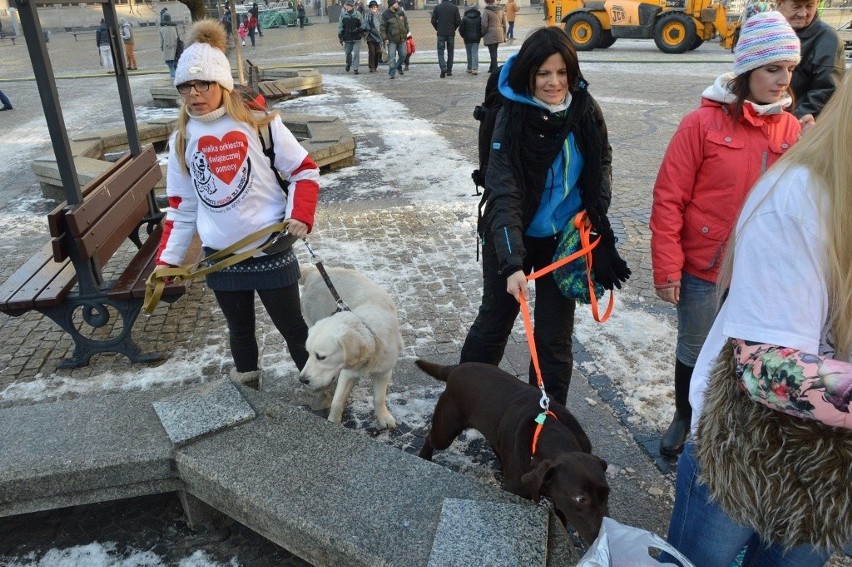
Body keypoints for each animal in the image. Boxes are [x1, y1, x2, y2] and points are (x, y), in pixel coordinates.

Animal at [298, 268, 404, 430]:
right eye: (308, 353)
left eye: (321, 357)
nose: (302, 380)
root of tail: (313, 271)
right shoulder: (347, 373)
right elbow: (337, 401)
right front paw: (333, 422)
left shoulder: (384, 372)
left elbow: (379, 398)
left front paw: (383, 417)